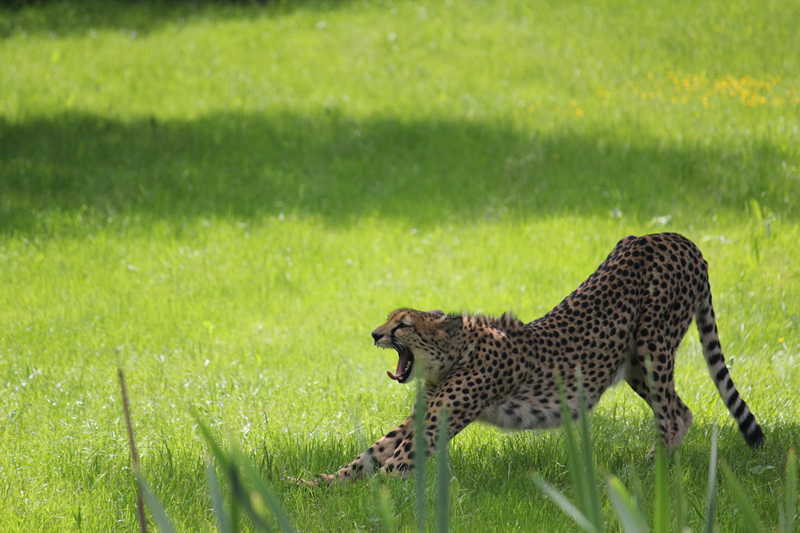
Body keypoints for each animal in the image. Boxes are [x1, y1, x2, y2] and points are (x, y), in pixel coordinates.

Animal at [296, 231, 764, 484]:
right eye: (388, 320)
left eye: (403, 325)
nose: (375, 334)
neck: (455, 353)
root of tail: (676, 237)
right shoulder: (419, 418)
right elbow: (366, 457)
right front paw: (309, 483)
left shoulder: (430, 431)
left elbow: (388, 470)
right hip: (634, 364)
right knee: (681, 411)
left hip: (653, 347)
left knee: (671, 414)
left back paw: (652, 475)